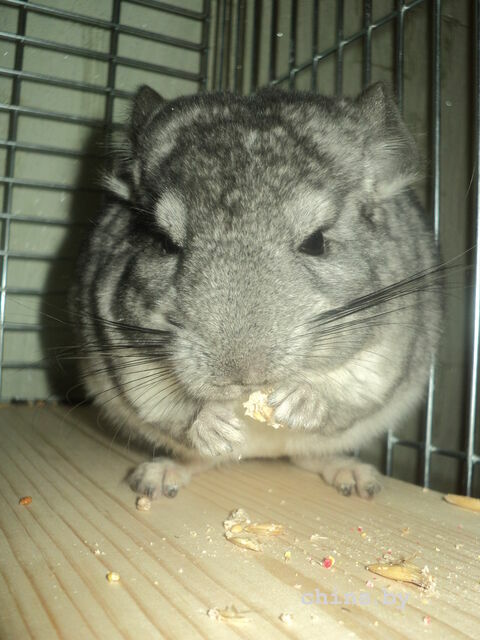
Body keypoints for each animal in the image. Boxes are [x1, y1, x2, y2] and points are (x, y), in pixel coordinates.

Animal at [71, 83, 442, 499]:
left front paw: (301, 399)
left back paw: (354, 477)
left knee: (309, 456)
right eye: (164, 243)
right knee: (201, 460)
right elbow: (170, 406)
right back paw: (160, 476)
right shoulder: (125, 357)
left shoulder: (386, 356)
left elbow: (345, 391)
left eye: (316, 242)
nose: (245, 375)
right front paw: (210, 421)